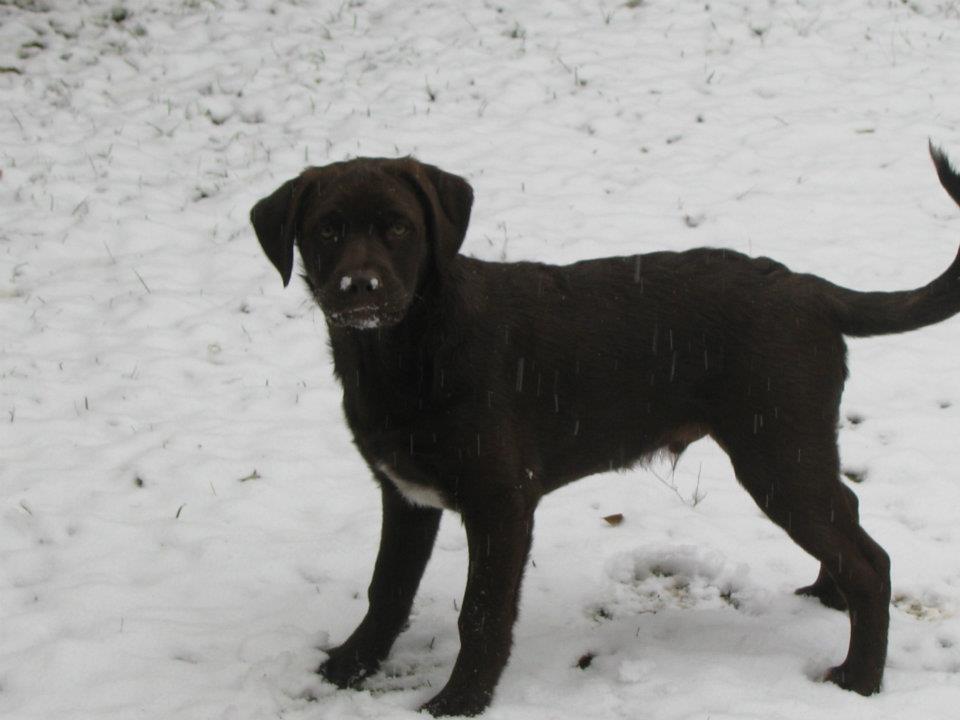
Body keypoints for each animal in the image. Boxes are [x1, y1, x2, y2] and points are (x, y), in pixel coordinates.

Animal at [249, 146, 960, 716]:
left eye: (398, 227)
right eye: (325, 230)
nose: (359, 287)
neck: (403, 352)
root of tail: (811, 289)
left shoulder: (501, 500)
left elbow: (481, 613)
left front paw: (461, 701)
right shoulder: (404, 493)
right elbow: (387, 588)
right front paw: (352, 663)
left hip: (777, 452)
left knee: (871, 561)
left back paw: (859, 681)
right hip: (795, 451)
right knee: (850, 516)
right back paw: (826, 594)